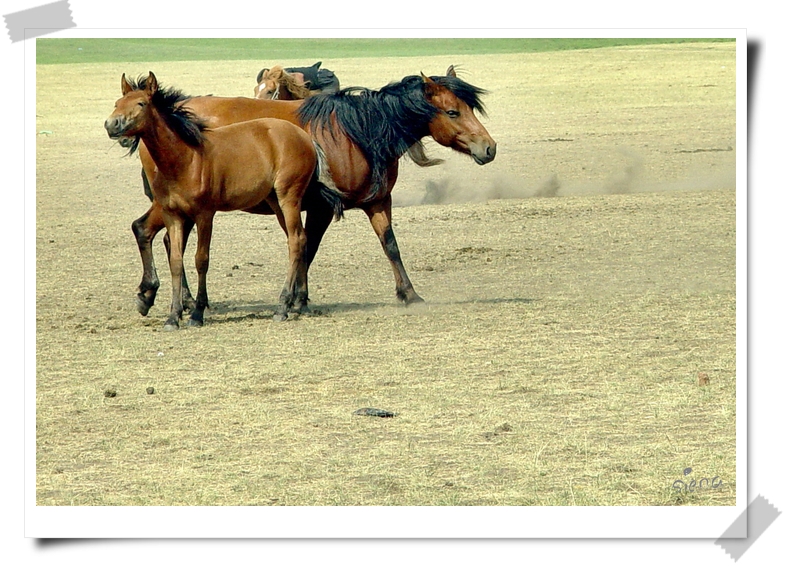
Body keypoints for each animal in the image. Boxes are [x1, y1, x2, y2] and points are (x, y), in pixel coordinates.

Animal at [105, 72, 333, 329]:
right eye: (117, 103)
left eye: (141, 104)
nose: (112, 124)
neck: (185, 159)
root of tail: (304, 137)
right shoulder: (173, 215)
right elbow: (176, 261)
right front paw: (173, 316)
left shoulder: (205, 215)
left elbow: (201, 260)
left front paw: (197, 312)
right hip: (275, 201)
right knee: (300, 239)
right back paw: (296, 302)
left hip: (289, 198)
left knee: (295, 241)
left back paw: (283, 306)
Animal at [124, 66, 495, 316]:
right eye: (452, 111)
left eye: (470, 108)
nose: (489, 147)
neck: (355, 131)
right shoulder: (320, 208)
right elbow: (307, 247)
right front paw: (297, 299)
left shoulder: (376, 202)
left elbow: (389, 244)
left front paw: (409, 294)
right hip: (174, 203)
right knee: (148, 231)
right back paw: (161, 296)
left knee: (162, 237)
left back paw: (176, 299)